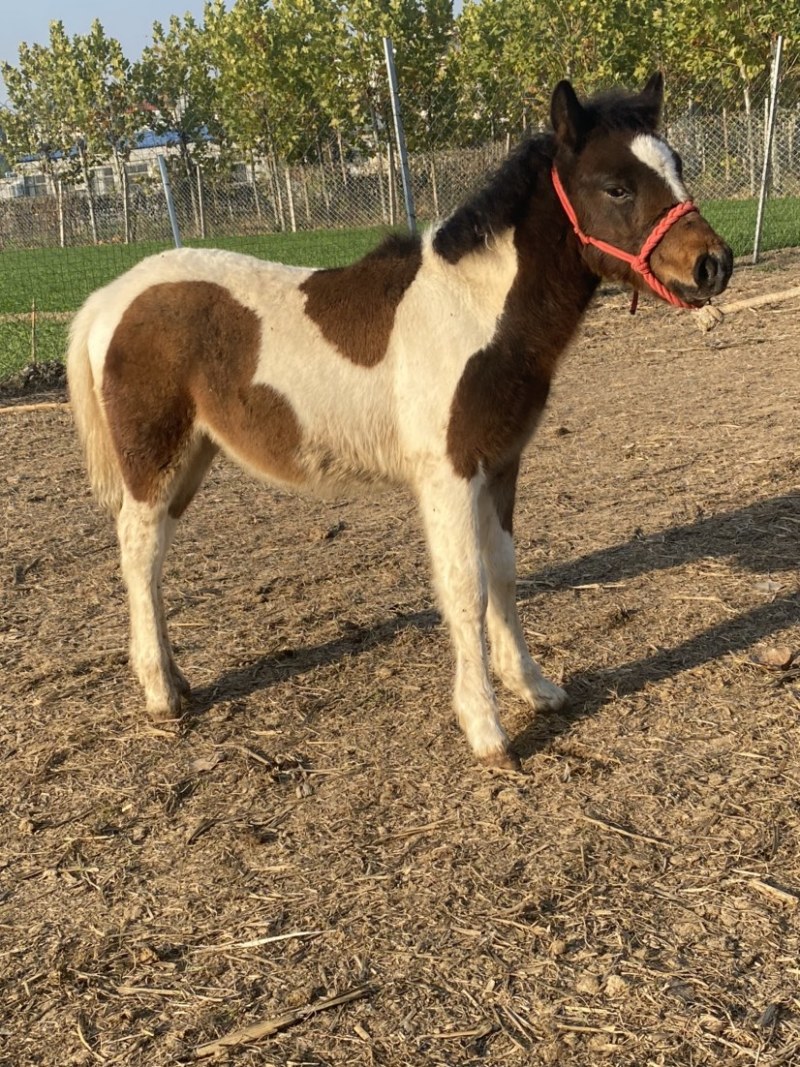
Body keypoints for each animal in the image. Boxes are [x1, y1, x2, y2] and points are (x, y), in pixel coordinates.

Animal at [67, 73, 732, 770]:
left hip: (192, 456)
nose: (713, 264)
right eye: (616, 186)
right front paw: (486, 730)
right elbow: (464, 588)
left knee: (155, 556)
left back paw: (177, 679)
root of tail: (109, 297)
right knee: (139, 552)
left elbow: (503, 570)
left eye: (677, 165)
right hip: (154, 457)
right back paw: (161, 695)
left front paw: (533, 686)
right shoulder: (449, 474)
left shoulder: (501, 464)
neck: (474, 310)